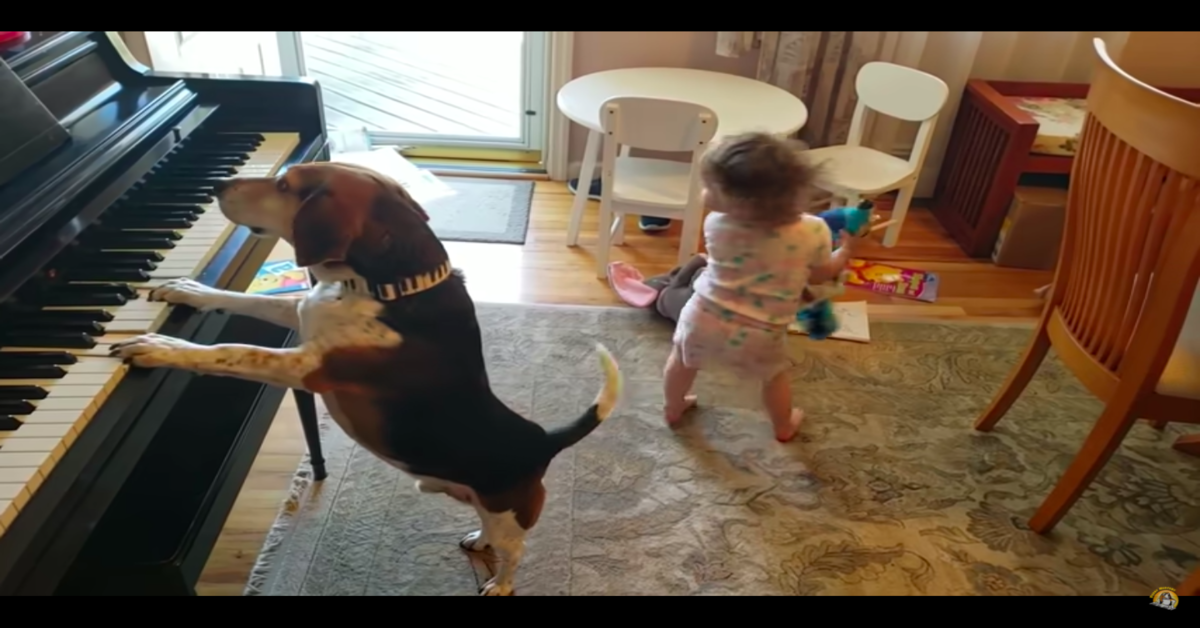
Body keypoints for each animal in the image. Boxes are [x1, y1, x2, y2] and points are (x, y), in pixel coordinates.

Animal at [108, 160, 624, 595]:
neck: (389, 286)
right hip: (478, 500)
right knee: (489, 531)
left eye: (284, 186)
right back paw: (477, 540)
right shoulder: (299, 314)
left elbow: (228, 352)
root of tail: (543, 440)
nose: (216, 185)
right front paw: (185, 289)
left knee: (516, 551)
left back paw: (501, 583)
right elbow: (240, 301)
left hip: (508, 514)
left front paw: (158, 347)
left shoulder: (306, 367)